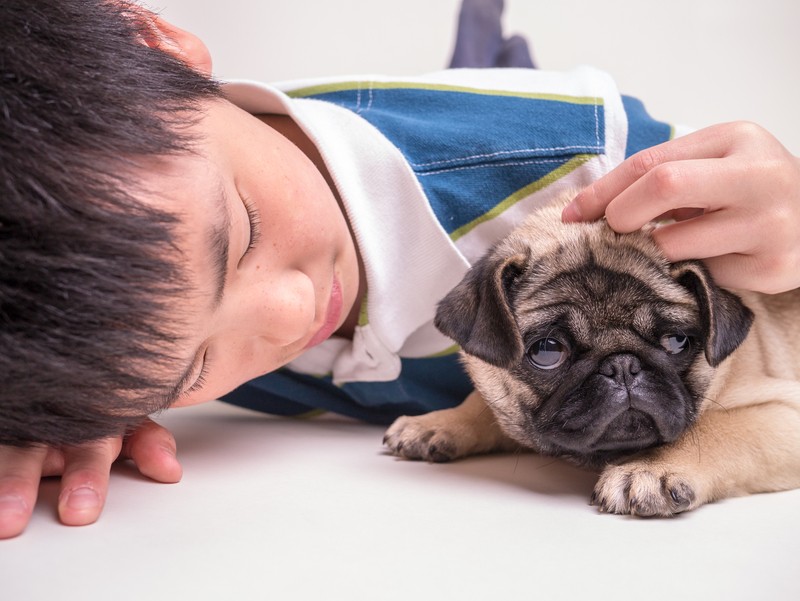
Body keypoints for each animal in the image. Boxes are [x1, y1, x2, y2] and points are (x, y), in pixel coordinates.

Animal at [382, 195, 800, 512]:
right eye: (547, 351)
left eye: (677, 341)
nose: (623, 365)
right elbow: (485, 402)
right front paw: (441, 421)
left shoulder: (784, 411)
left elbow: (717, 429)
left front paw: (649, 469)